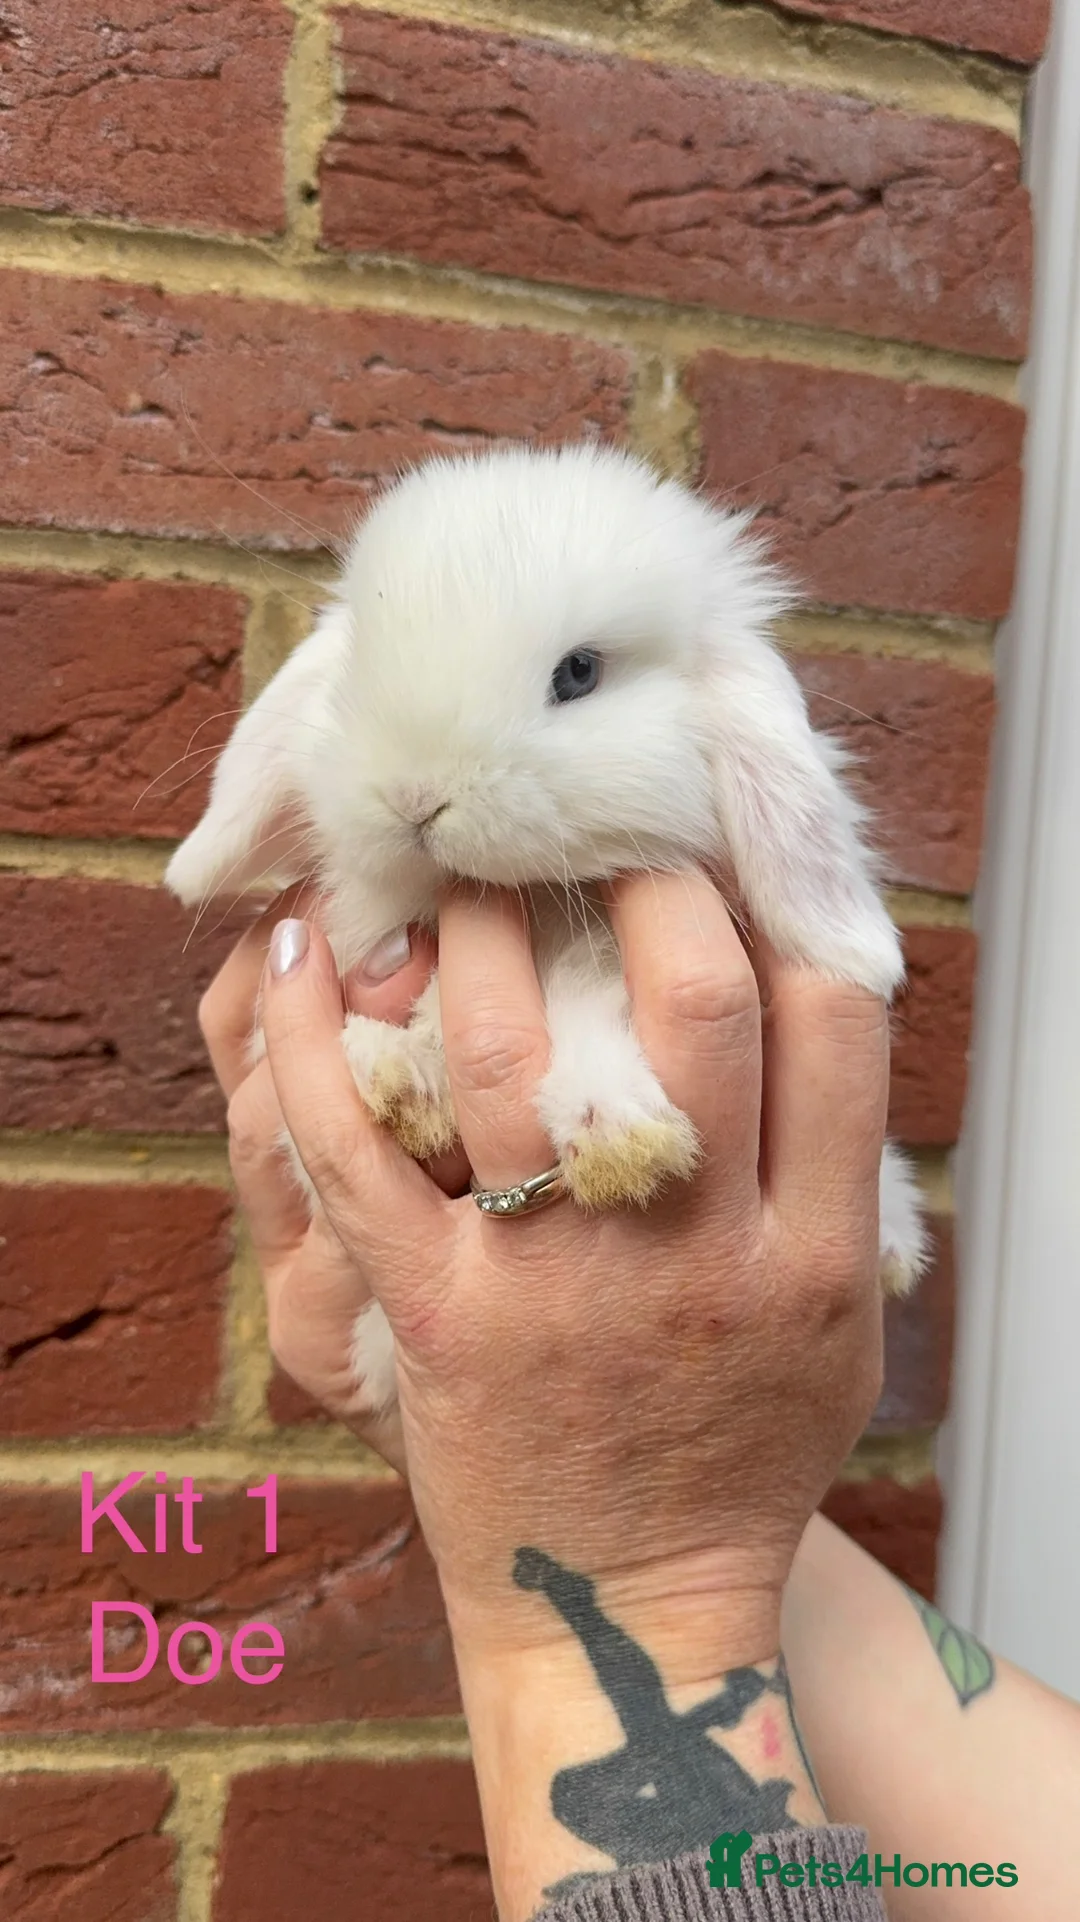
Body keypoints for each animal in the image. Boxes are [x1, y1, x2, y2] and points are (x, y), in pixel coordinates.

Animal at [166, 442, 928, 1419]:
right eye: (358, 669)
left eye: (579, 673)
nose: (414, 795)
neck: (525, 901)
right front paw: (398, 1079)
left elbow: (584, 1013)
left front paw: (621, 1137)